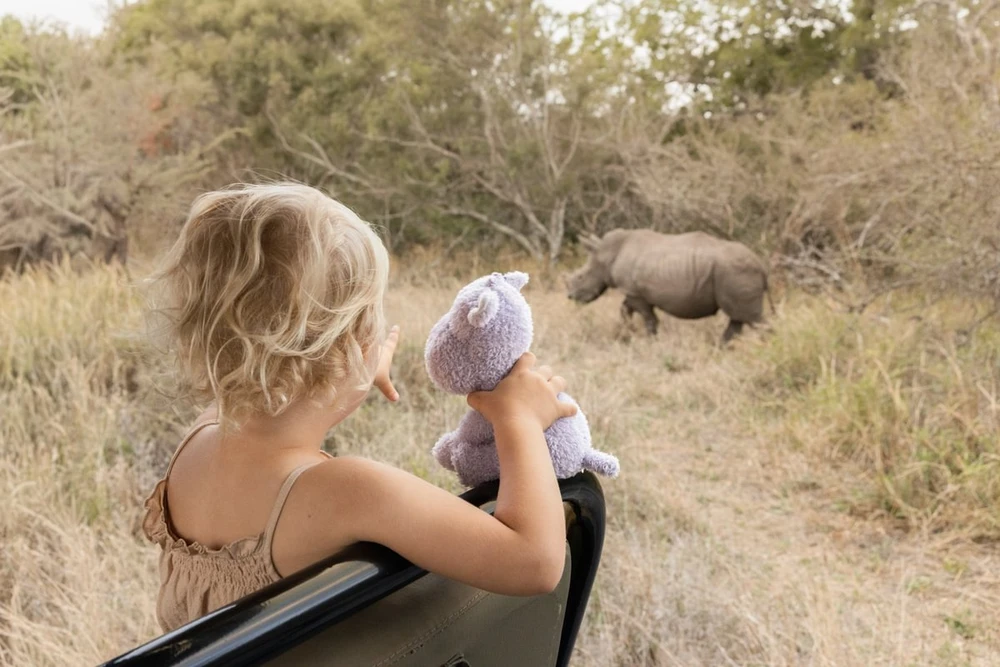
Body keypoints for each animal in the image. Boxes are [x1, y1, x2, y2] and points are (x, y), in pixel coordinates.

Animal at [566, 229, 773, 343]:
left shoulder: (635, 293)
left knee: (752, 319)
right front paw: (625, 334)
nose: (570, 296)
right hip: (734, 273)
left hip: (736, 272)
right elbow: (625, 311)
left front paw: (650, 341)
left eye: (581, 277)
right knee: (738, 318)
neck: (606, 253)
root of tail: (762, 266)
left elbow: (648, 319)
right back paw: (722, 349)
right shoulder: (632, 291)